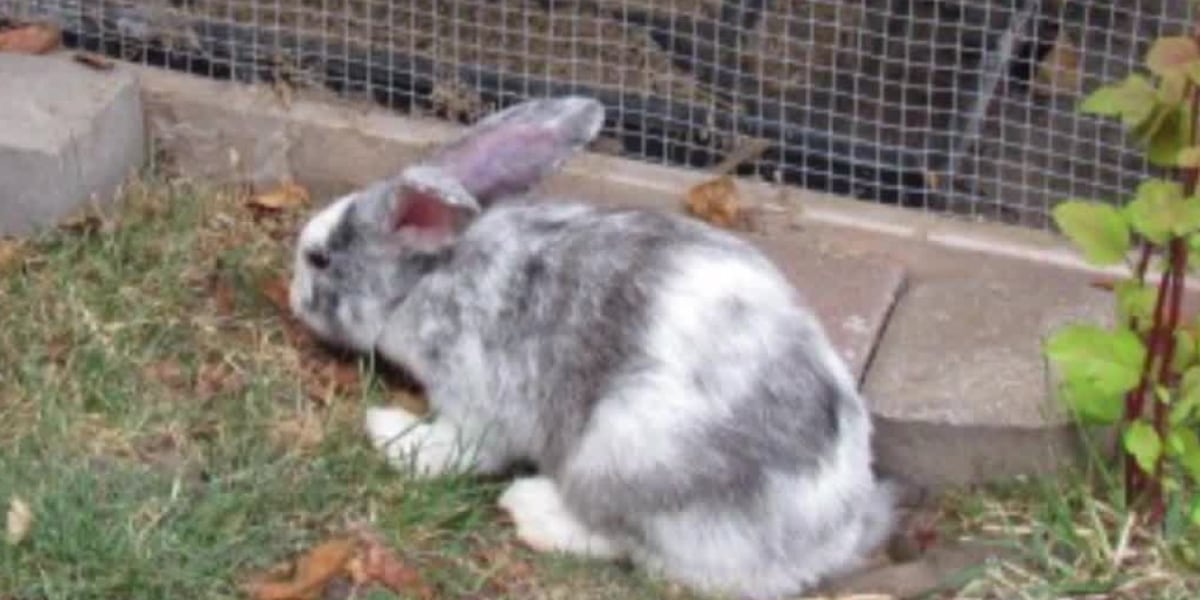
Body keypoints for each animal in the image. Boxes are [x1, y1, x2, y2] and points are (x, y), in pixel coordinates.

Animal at [288, 95, 896, 600]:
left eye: (320, 259)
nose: (291, 296)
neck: (426, 279)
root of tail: (829, 534)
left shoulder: (475, 403)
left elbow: (458, 448)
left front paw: (389, 432)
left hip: (622, 456)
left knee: (638, 549)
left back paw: (531, 509)